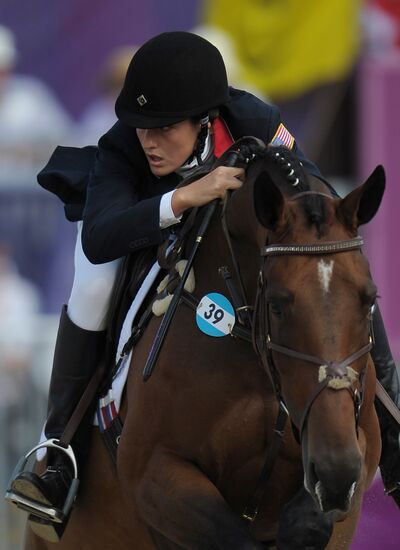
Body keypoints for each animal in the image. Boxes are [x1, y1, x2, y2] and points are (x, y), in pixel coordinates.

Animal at [24, 142, 382, 550]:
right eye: (276, 304)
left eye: (370, 299)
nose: (335, 470)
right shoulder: (153, 472)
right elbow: (233, 537)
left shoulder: (357, 451)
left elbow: (311, 520)